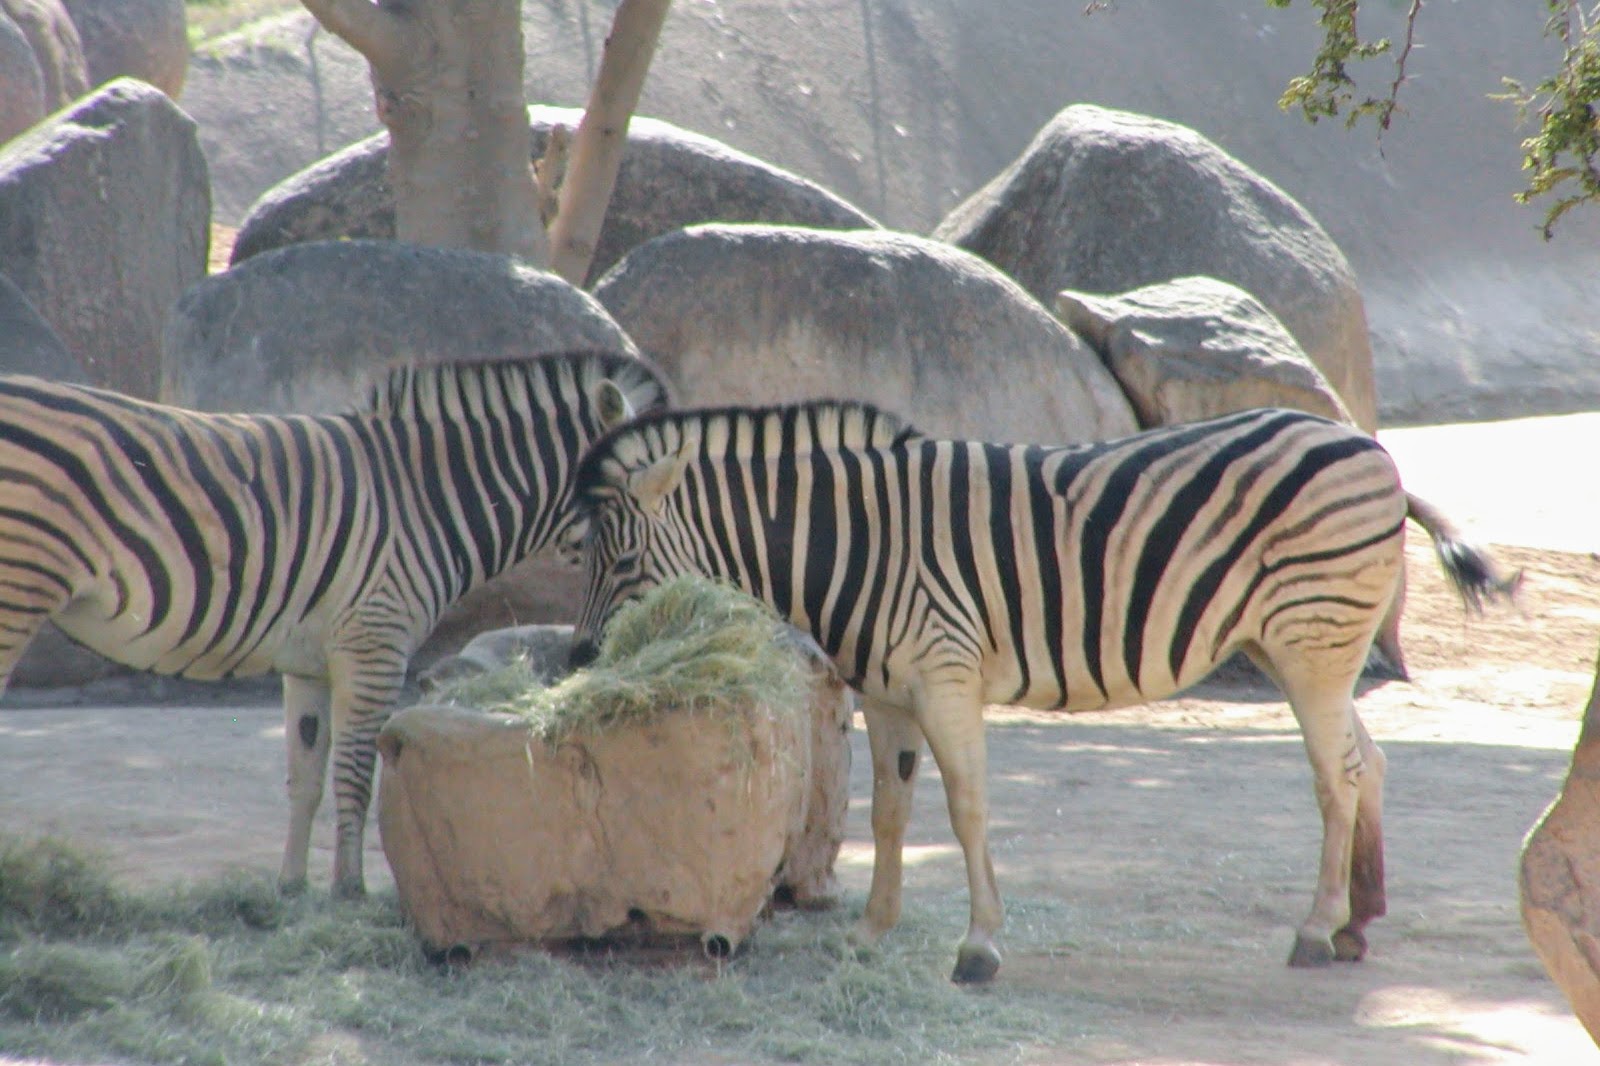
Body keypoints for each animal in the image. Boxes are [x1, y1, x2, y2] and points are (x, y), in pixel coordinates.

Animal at [0, 350, 668, 898]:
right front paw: (351, 890)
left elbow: (307, 776)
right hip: (18, 586)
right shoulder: (376, 644)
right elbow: (356, 774)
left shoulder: (310, 661)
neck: (428, 496)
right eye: (662, 498)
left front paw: (291, 889)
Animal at [565, 401, 1517, 983]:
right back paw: (1360, 921)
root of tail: (1373, 451)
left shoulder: (944, 675)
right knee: (1371, 761)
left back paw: (1317, 930)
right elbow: (889, 814)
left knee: (1337, 776)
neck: (850, 543)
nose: (577, 658)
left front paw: (979, 946)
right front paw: (870, 933)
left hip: (1311, 643)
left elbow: (968, 808)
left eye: (618, 557)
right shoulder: (887, 694)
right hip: (1301, 648)